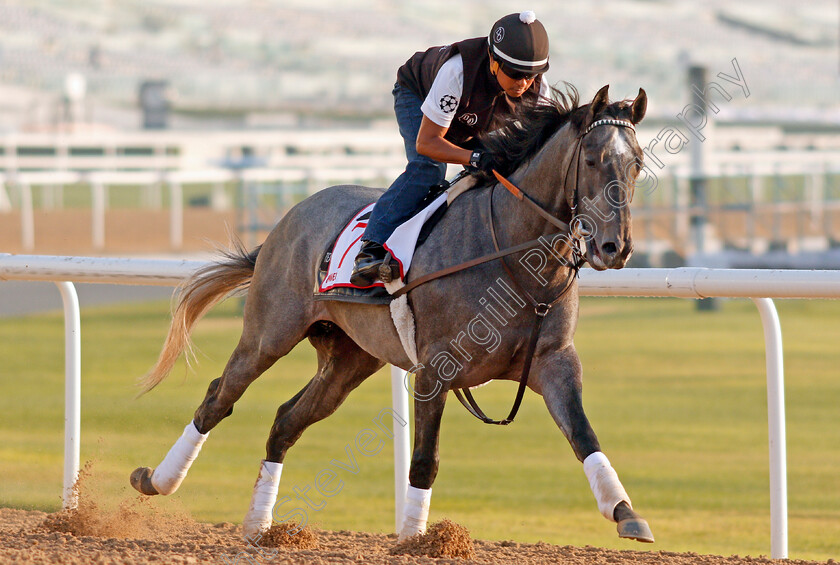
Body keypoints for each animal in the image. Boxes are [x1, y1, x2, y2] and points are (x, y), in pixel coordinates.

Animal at [131, 83, 656, 540]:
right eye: (591, 160)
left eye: (636, 165)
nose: (616, 248)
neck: (512, 256)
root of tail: (290, 217)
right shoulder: (436, 369)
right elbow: (424, 459)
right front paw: (415, 538)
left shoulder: (554, 360)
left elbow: (584, 435)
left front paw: (626, 513)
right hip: (269, 333)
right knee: (219, 398)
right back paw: (157, 480)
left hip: (350, 358)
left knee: (286, 421)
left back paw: (260, 525)